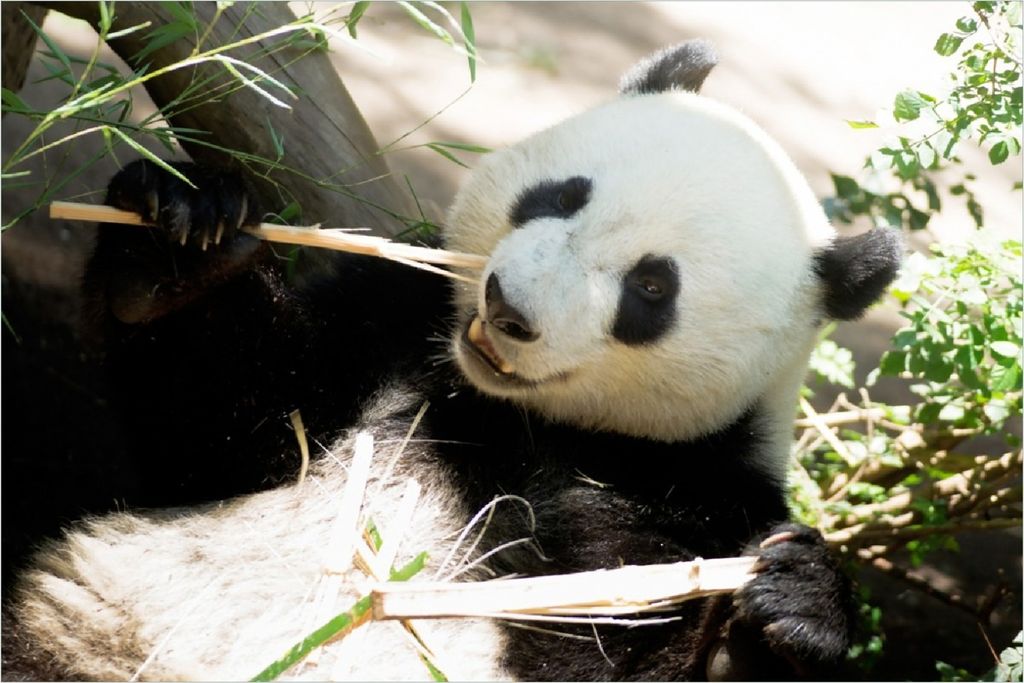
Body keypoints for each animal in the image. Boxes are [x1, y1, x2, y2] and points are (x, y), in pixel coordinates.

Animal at [6, 41, 901, 681]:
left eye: (652, 287)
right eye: (562, 195)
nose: (508, 308)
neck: (511, 414)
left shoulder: (694, 485)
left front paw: (780, 617)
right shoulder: (396, 322)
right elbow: (228, 440)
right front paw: (182, 238)